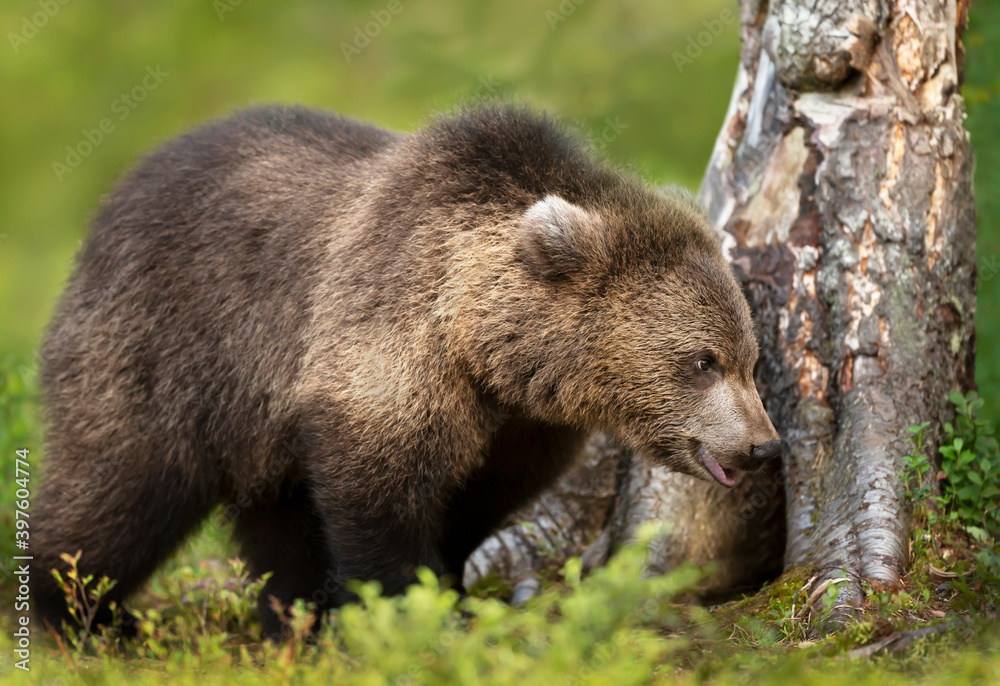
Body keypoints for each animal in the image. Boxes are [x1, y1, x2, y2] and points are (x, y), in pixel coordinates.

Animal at [31, 104, 781, 639]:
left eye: (749, 359)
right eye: (702, 361)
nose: (763, 446)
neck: (487, 348)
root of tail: (116, 197)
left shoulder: (521, 423)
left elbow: (481, 496)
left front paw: (448, 589)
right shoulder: (384, 340)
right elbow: (381, 491)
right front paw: (406, 610)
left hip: (257, 412)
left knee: (272, 510)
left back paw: (292, 618)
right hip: (166, 343)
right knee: (121, 485)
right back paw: (83, 612)